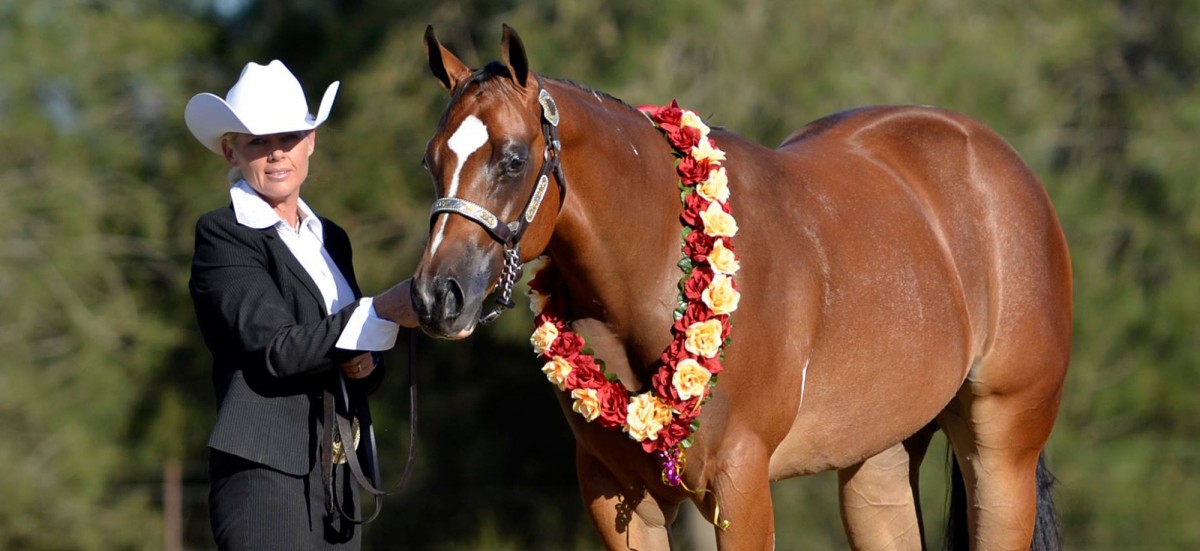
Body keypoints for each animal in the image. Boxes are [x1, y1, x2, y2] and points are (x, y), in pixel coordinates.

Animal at [411, 25, 1071, 550]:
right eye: (430, 160)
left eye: (513, 159)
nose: (437, 296)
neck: (659, 265)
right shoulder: (614, 495)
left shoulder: (742, 483)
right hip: (877, 463)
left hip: (1001, 453)